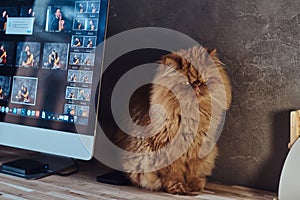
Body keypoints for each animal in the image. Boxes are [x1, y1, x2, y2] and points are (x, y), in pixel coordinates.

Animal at [115, 45, 232, 195]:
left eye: (205, 80)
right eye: (187, 83)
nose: (197, 86)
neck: (193, 115)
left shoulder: (199, 148)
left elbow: (193, 171)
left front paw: (194, 185)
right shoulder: (166, 148)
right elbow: (172, 173)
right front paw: (178, 187)